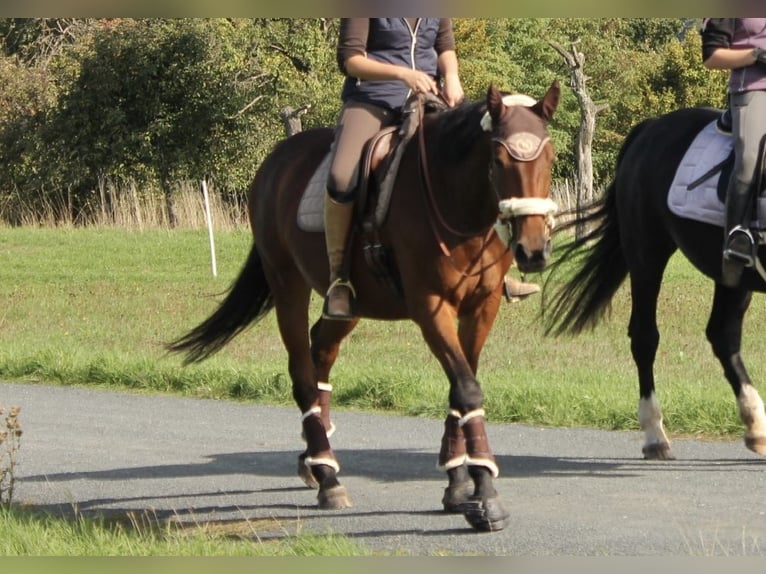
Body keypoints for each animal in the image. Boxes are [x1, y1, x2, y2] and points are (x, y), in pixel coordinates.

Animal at [170, 81, 564, 536]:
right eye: (498, 160)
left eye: (550, 157)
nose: (533, 250)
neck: (452, 200)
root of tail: (277, 160)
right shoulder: (431, 308)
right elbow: (467, 389)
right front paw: (485, 494)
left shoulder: (482, 307)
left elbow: (461, 387)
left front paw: (457, 483)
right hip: (287, 284)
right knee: (302, 370)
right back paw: (328, 478)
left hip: (348, 304)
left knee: (321, 352)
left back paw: (314, 459)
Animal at [544, 106, 766, 462]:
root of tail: (651, 127)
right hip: (646, 255)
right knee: (645, 338)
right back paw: (655, 436)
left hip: (730, 274)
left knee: (723, 335)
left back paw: (755, 425)